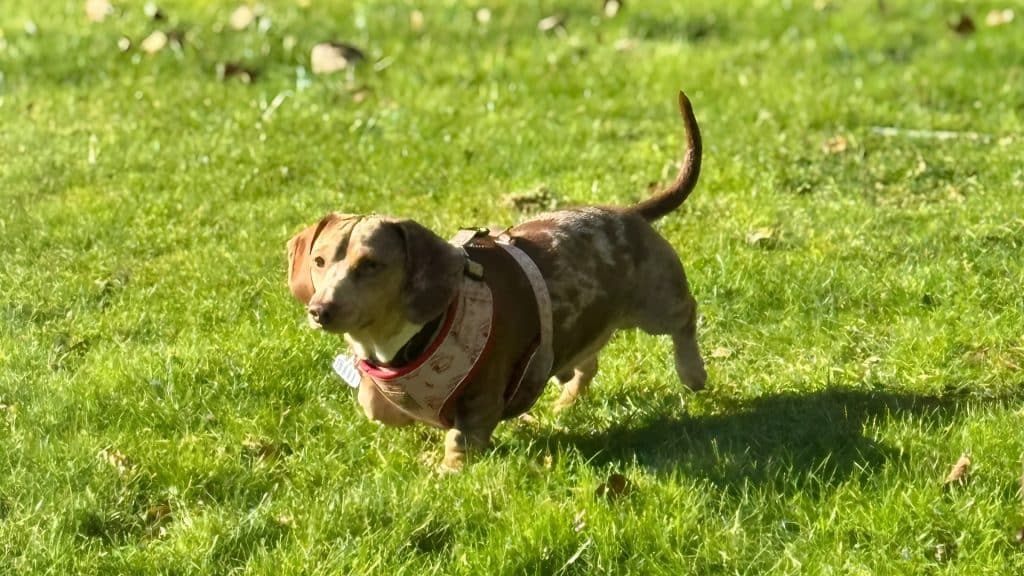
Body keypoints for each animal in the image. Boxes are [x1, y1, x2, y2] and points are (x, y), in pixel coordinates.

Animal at [287, 91, 706, 470]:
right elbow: (376, 406)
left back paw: (693, 372)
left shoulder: (481, 394)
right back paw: (566, 399)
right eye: (319, 261)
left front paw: (448, 472)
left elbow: (460, 437)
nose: (320, 311)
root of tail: (630, 213)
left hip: (657, 306)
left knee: (686, 316)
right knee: (587, 363)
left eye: (371, 264)